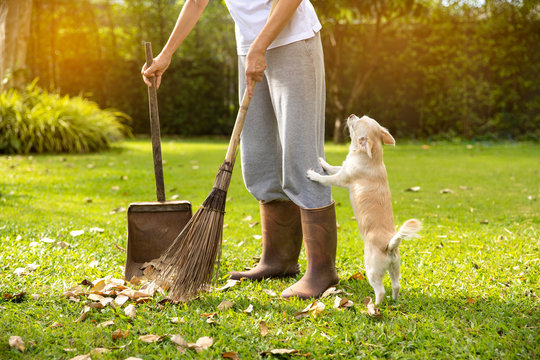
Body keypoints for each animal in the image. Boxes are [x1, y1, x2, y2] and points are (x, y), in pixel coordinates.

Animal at [308, 114, 422, 306]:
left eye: (356, 123)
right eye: (363, 117)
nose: (351, 115)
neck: (372, 157)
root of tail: (390, 245)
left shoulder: (341, 179)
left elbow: (327, 178)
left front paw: (314, 175)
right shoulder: (344, 167)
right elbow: (333, 167)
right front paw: (323, 162)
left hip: (372, 270)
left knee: (380, 290)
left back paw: (373, 306)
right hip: (395, 267)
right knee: (396, 285)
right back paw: (393, 300)